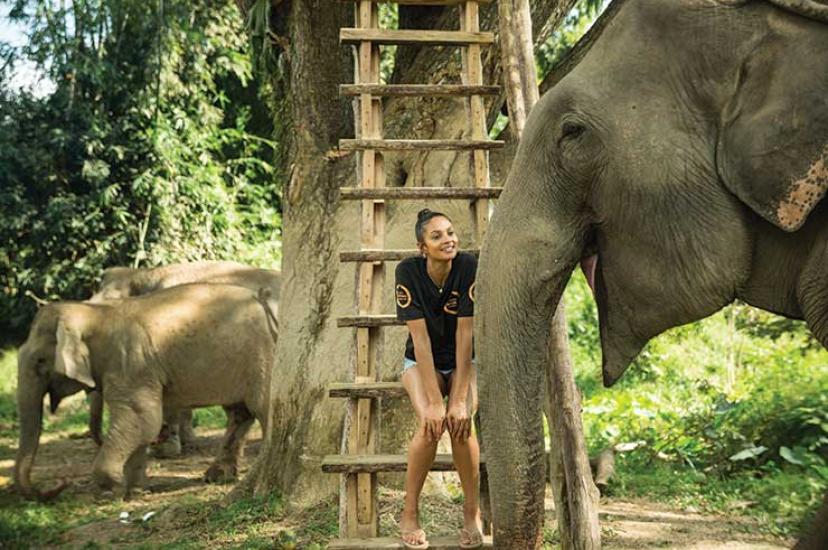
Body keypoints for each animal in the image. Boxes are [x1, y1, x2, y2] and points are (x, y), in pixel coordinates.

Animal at [15, 283, 278, 499]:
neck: (96, 314)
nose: (62, 482)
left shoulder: (132, 364)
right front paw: (136, 491)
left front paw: (111, 490)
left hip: (261, 356)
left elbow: (142, 419)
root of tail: (261, 299)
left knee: (261, 407)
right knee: (239, 412)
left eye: (40, 361)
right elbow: (141, 424)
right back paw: (216, 477)